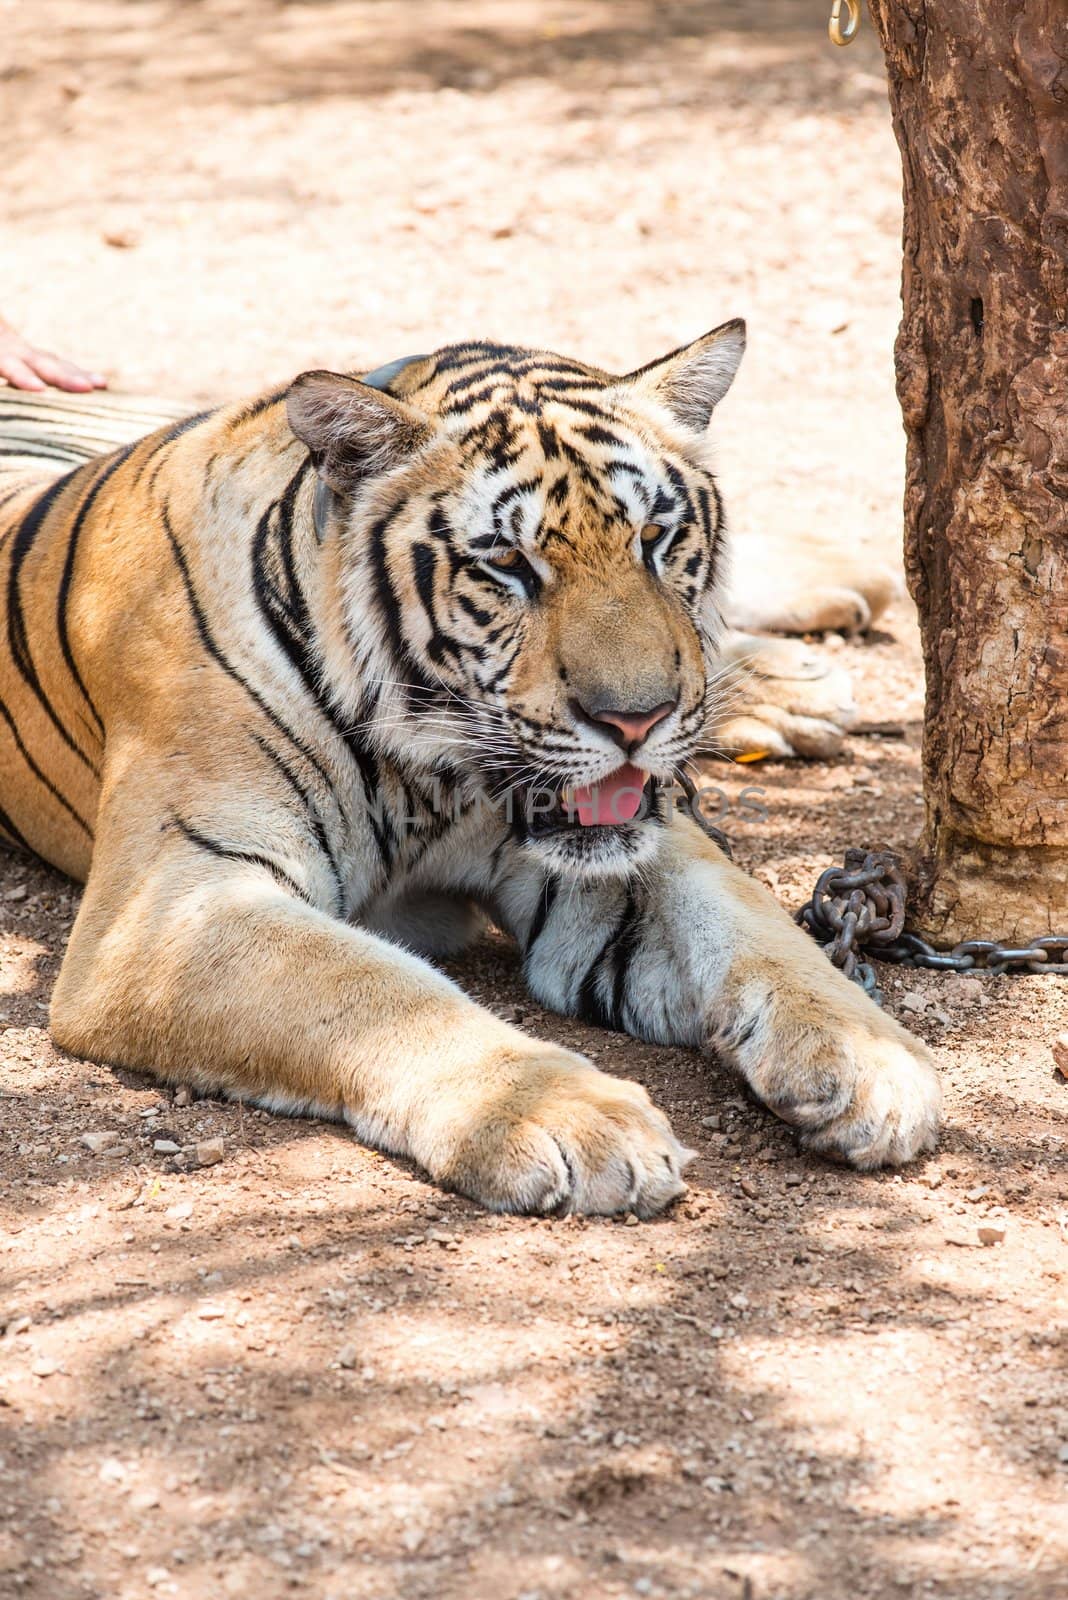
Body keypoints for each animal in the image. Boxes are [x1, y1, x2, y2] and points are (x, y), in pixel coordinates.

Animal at [0, 331, 933, 1216]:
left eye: (655, 540)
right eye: (507, 565)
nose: (638, 719)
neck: (429, 773)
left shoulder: (614, 863)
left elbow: (753, 924)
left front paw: (874, 1058)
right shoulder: (172, 908)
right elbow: (376, 990)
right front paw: (568, 1119)